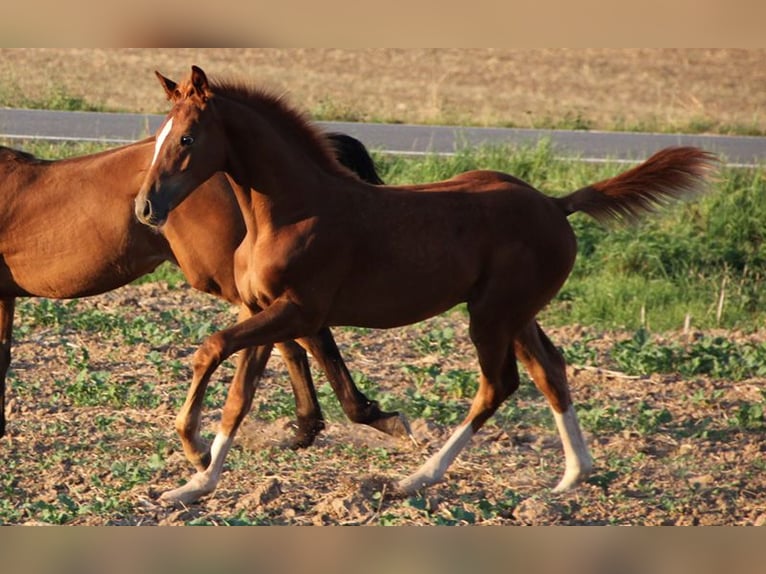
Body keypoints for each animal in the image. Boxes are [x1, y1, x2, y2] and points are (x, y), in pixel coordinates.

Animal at [0, 131, 407, 465]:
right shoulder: (5, 296)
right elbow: (4, 355)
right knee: (292, 341)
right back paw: (306, 429)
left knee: (308, 335)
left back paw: (370, 418)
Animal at [134, 65, 717, 506]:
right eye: (158, 137)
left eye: (186, 138)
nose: (145, 207)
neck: (289, 213)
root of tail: (556, 204)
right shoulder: (261, 308)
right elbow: (240, 394)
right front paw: (195, 483)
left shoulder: (299, 310)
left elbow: (211, 349)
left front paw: (192, 447)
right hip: (518, 313)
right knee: (550, 369)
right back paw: (573, 476)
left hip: (491, 315)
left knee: (498, 384)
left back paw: (418, 478)